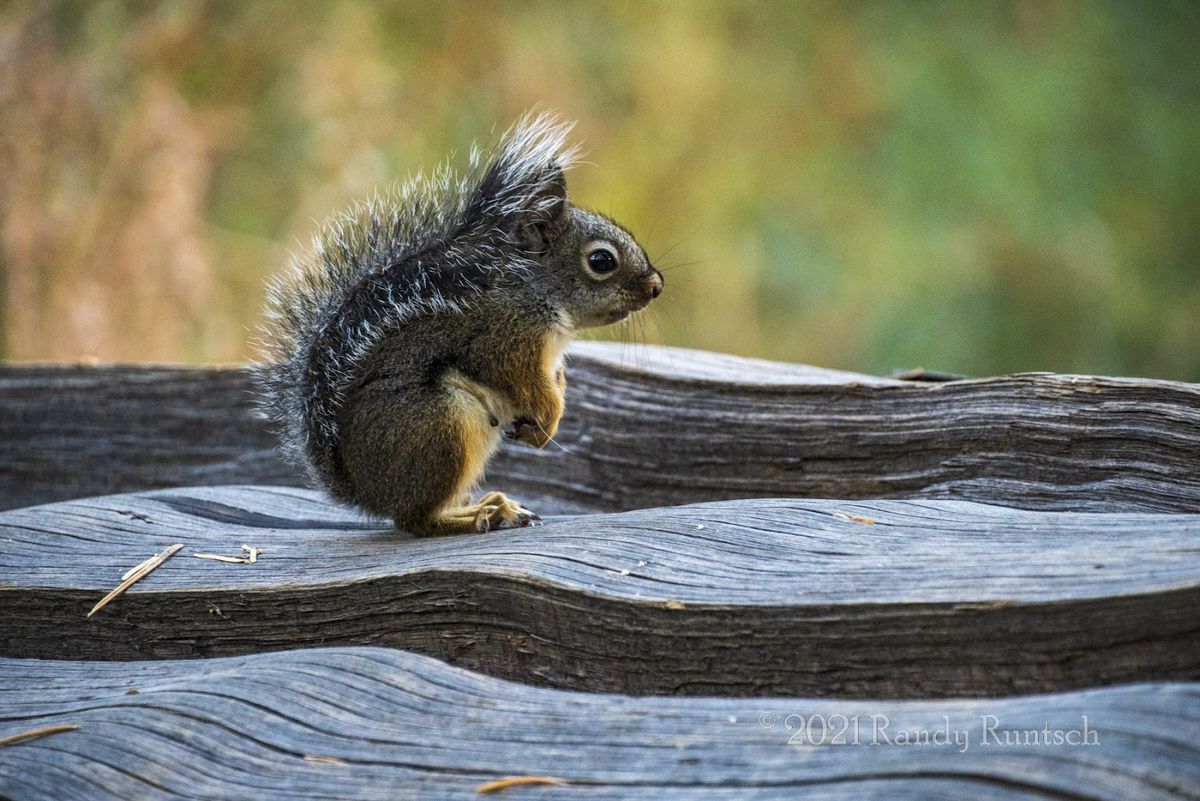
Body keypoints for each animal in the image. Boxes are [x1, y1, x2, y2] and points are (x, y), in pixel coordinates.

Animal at [255, 112, 667, 534]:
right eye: (601, 261)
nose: (657, 287)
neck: (538, 299)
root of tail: (367, 494)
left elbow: (555, 387)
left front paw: (543, 428)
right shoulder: (505, 340)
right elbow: (526, 383)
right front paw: (548, 419)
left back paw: (490, 504)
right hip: (442, 425)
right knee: (416, 521)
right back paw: (479, 516)